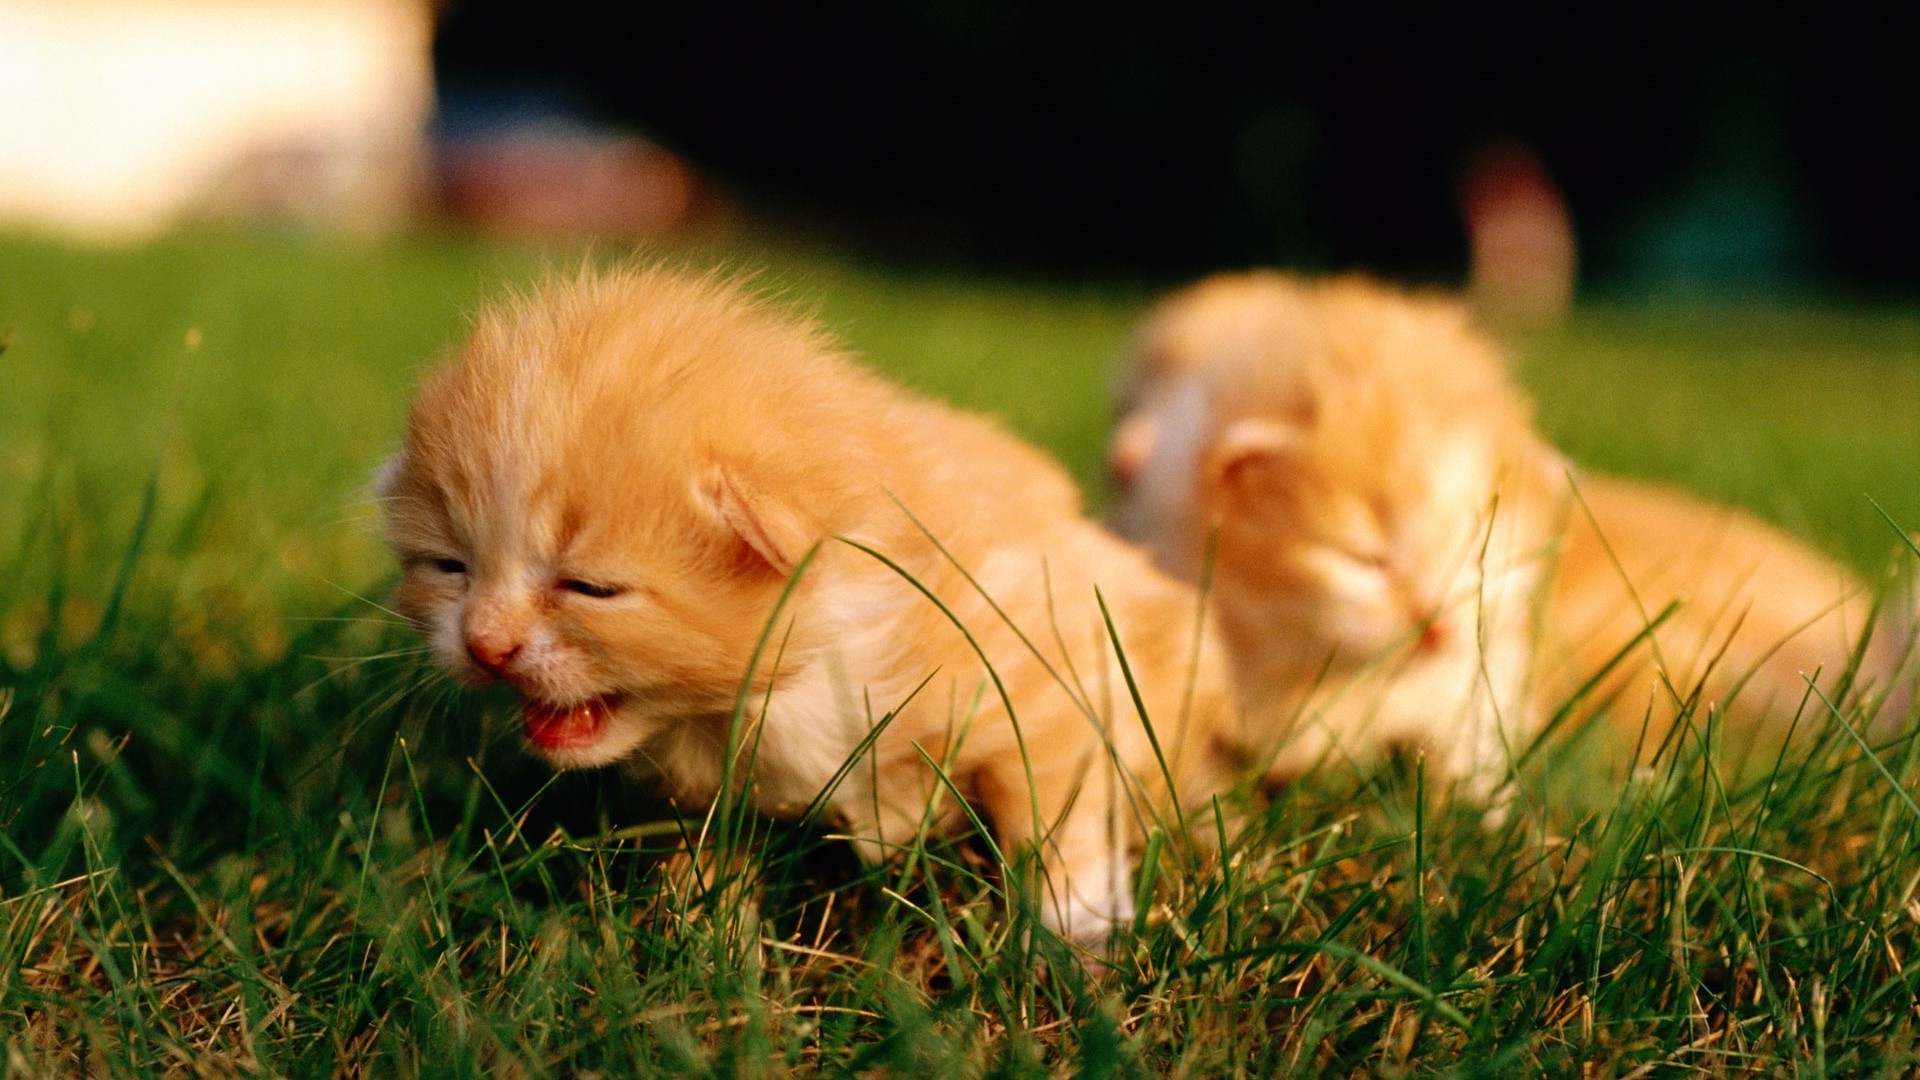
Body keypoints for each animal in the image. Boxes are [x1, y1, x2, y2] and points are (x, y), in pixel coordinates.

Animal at [382, 263, 1236, 941]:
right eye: (450, 567)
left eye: (590, 588)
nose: (484, 645)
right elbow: (707, 857)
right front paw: (700, 938)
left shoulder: (1046, 665)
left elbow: (1055, 814)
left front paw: (1074, 933)